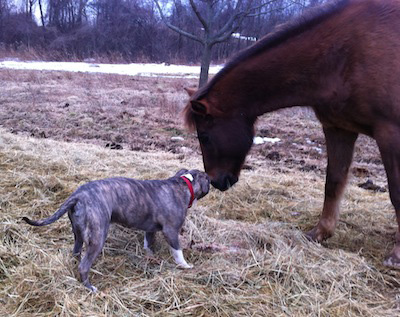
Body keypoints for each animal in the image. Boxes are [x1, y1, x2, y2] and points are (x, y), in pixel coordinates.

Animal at [22, 168, 209, 292]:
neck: (183, 184)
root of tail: (78, 196)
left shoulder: (150, 230)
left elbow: (148, 245)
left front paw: (151, 257)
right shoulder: (171, 231)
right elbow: (178, 252)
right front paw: (185, 266)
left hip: (78, 234)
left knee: (76, 253)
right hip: (98, 237)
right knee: (84, 266)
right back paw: (90, 288)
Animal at [185, 0, 400, 266]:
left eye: (204, 137)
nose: (216, 181)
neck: (346, 53)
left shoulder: (390, 134)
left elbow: (396, 193)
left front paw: (397, 254)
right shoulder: (338, 128)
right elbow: (333, 182)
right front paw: (320, 233)